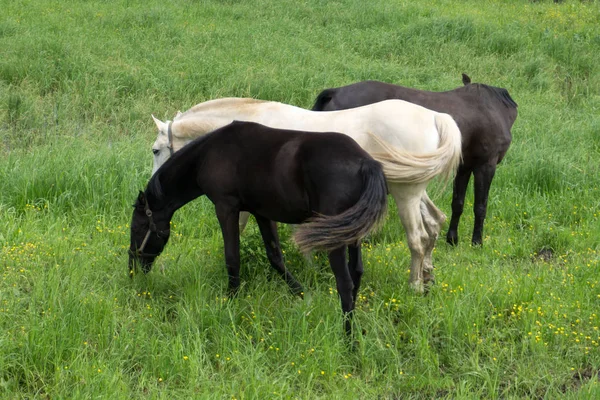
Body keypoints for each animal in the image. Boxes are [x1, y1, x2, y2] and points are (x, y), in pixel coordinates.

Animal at [128, 120, 386, 336]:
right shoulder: (262, 214)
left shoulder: (226, 208)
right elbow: (275, 257)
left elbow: (232, 258)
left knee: (344, 282)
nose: (133, 268)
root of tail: (365, 163)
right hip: (351, 233)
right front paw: (302, 294)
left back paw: (348, 339)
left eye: (138, 229)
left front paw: (231, 301)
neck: (207, 155)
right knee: (356, 272)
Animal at [150, 97, 460, 290]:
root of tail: (435, 117)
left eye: (155, 150)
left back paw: (414, 286)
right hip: (413, 191)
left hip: (406, 195)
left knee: (418, 238)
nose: (154, 184)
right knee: (435, 223)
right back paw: (427, 277)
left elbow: (240, 229)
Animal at [312, 73, 516, 245]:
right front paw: (477, 242)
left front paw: (452, 239)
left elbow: (458, 203)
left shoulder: (465, 167)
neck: (491, 108)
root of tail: (335, 92)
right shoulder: (486, 166)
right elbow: (480, 206)